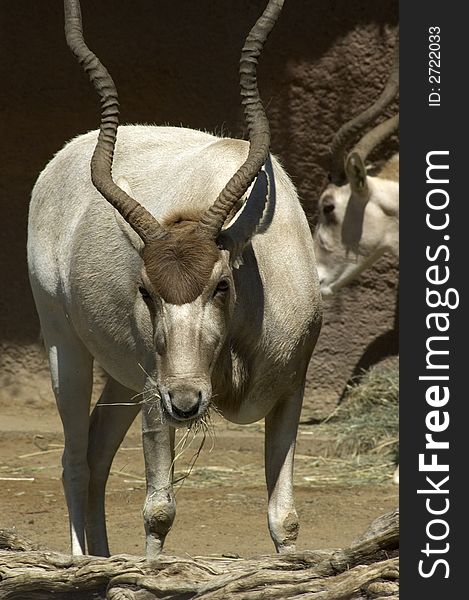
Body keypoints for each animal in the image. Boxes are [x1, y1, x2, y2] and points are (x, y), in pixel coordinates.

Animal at [26, 0, 322, 556]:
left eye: (221, 284)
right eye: (145, 289)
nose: (186, 402)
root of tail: (62, 159)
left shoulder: (290, 391)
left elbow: (286, 518)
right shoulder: (154, 392)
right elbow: (159, 511)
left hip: (125, 376)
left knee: (97, 449)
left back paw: (103, 557)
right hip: (67, 347)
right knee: (74, 459)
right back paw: (82, 562)